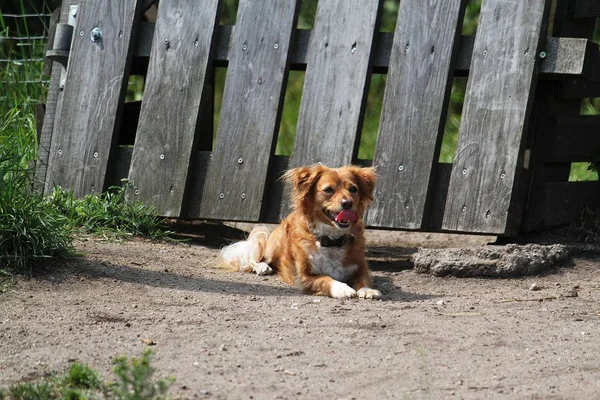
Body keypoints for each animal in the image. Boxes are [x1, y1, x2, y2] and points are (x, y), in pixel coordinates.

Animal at [220, 164, 380, 298]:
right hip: (272, 248)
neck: (332, 240)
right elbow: (325, 278)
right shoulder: (304, 278)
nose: (347, 203)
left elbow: (363, 279)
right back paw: (262, 267)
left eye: (353, 189)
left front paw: (367, 290)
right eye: (328, 190)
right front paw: (342, 288)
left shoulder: (361, 269)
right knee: (255, 259)